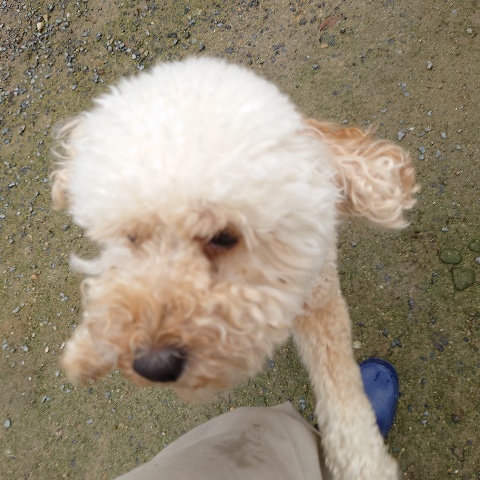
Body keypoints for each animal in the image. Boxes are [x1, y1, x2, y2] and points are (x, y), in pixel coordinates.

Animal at [52, 57, 417, 479]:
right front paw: (84, 353)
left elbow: (339, 384)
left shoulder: (319, 298)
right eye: (133, 235)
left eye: (225, 236)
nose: (153, 365)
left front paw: (364, 463)